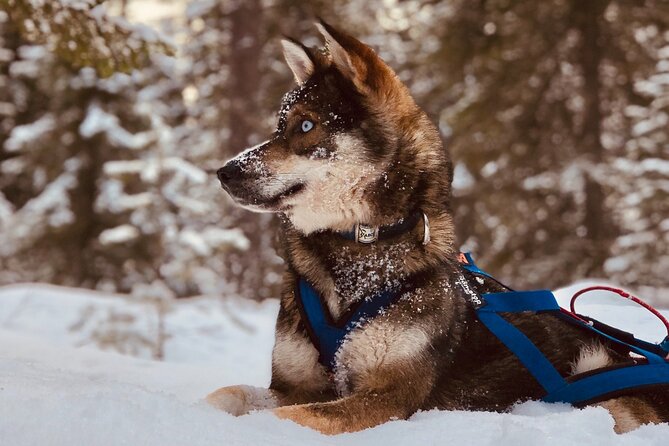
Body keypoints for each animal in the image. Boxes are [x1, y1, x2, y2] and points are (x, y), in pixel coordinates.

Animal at [206, 21, 664, 436]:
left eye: (305, 125)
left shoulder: (387, 397)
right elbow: (230, 393)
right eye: (278, 127)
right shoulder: (294, 385)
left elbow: (279, 417)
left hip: (596, 382)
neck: (358, 251)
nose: (224, 172)